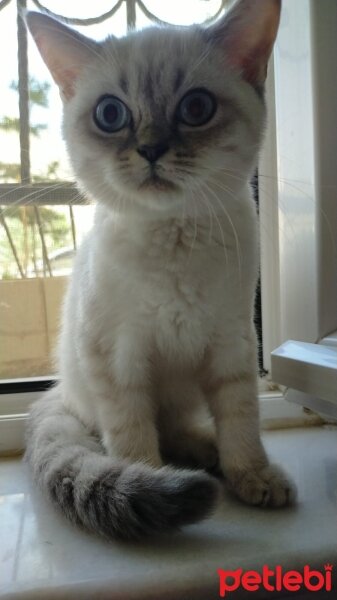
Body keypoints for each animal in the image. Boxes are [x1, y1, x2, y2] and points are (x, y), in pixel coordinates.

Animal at [25, 0, 294, 540]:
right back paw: (183, 471)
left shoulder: (232, 344)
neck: (172, 238)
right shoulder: (116, 358)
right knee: (142, 436)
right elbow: (133, 438)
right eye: (111, 115)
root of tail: (60, 393)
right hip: (92, 386)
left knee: (179, 429)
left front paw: (251, 475)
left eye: (196, 108)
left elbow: (241, 420)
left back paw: (208, 457)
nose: (150, 149)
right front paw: (145, 479)